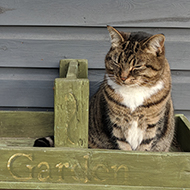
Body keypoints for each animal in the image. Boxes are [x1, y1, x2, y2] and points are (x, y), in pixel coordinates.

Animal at [34, 26, 175, 151]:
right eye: (116, 62)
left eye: (137, 66)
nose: (123, 77)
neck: (134, 91)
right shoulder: (117, 123)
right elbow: (124, 147)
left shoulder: (152, 125)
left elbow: (144, 148)